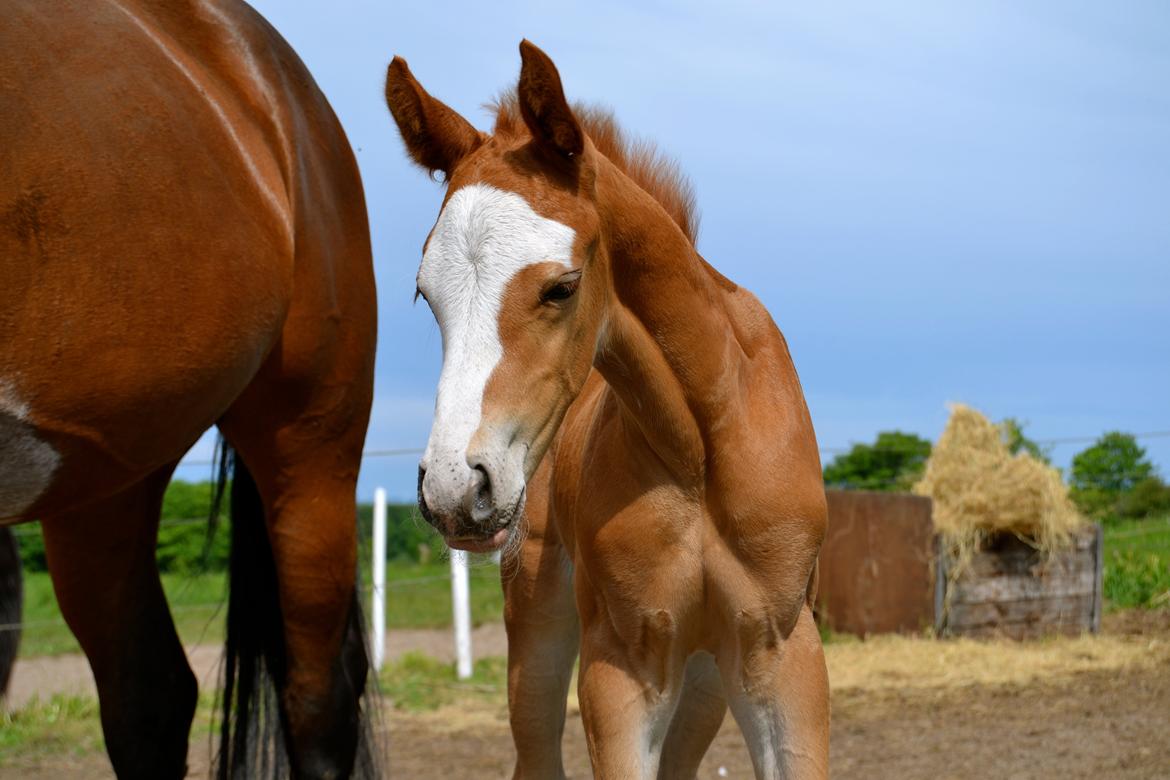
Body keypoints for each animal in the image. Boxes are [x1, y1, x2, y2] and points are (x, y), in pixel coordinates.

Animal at [388, 41, 828, 780]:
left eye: (560, 288)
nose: (454, 487)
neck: (699, 448)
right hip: (538, 625)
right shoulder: (623, 665)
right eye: (426, 294)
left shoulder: (782, 650)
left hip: (705, 678)